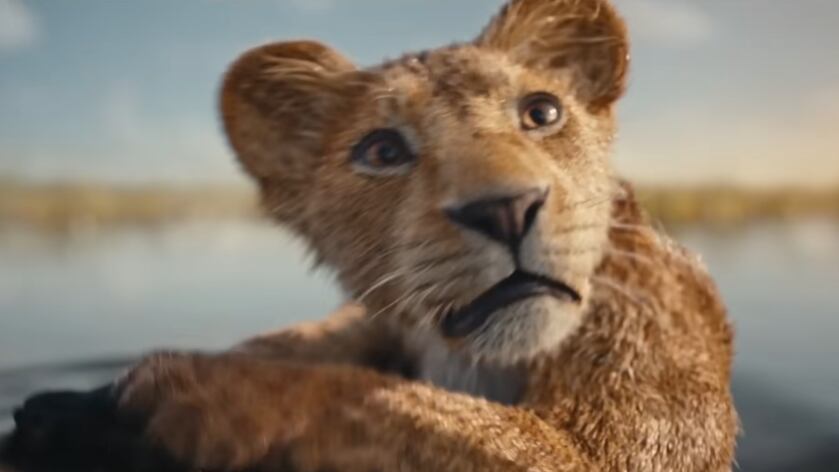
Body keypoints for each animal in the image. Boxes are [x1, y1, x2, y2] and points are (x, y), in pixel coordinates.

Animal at [2, 0, 738, 471]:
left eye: (542, 112)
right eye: (382, 151)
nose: (506, 210)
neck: (474, 361)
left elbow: (382, 403)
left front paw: (187, 388)